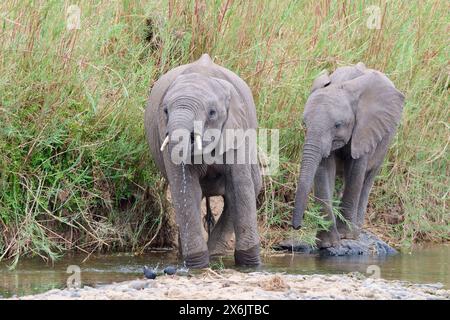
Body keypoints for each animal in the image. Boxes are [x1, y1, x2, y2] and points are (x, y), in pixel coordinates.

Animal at [146, 53, 262, 268]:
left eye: (212, 113)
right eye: (165, 111)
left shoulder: (237, 128)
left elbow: (239, 186)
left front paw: (250, 265)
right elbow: (186, 191)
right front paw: (197, 265)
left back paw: (215, 252)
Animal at [292, 62, 404, 248]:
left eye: (338, 125)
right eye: (304, 123)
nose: (297, 226)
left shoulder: (366, 129)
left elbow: (356, 172)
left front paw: (346, 236)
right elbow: (324, 170)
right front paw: (327, 243)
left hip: (386, 140)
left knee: (367, 179)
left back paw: (356, 230)